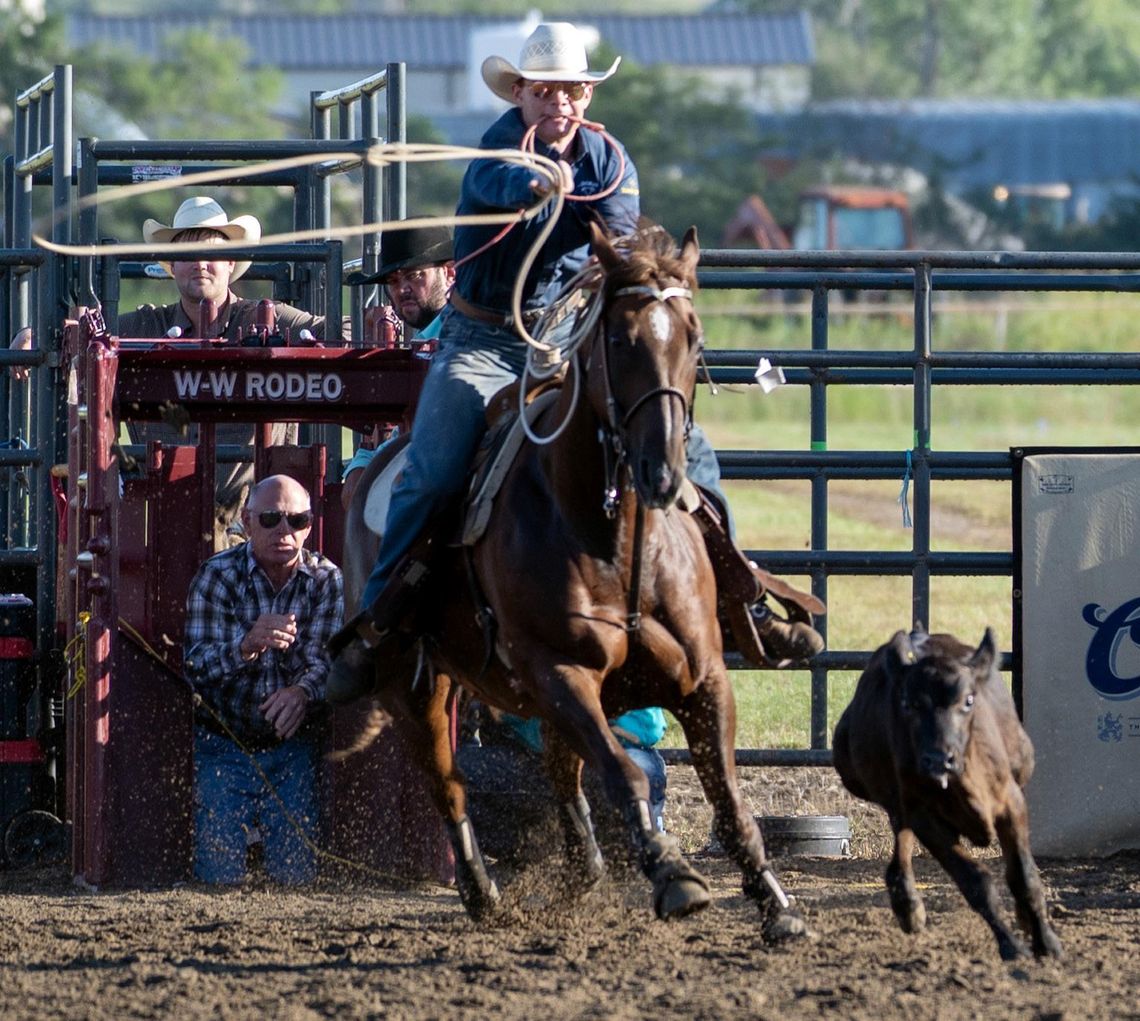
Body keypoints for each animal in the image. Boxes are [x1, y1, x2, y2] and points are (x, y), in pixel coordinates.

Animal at [342, 225, 807, 938]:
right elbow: (623, 776)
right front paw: (674, 875)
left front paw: (774, 903)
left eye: (694, 337)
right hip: (416, 687)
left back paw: (580, 873)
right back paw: (484, 893)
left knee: (561, 775)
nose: (662, 467)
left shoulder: (703, 678)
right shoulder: (562, 672)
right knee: (450, 785)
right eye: (619, 340)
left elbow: (729, 802)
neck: (619, 546)